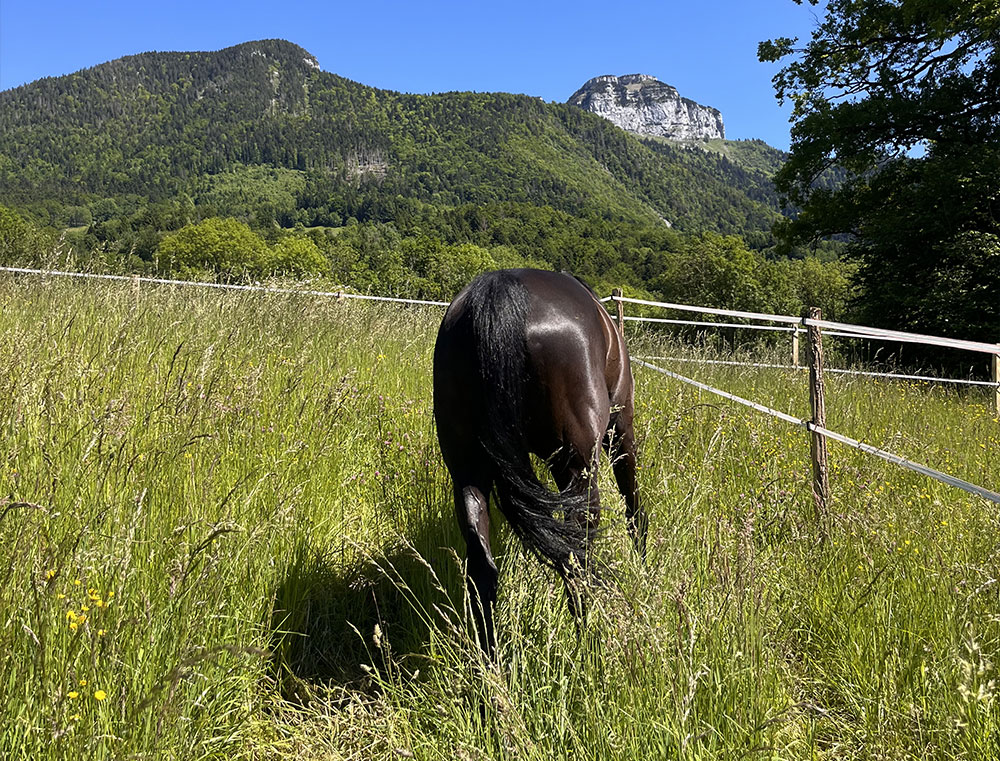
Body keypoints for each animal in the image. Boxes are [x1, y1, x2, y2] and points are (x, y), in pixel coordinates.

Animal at [433, 268, 647, 656]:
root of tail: (499, 293)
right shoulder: (620, 427)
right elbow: (632, 498)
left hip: (468, 470)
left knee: (482, 569)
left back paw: (490, 661)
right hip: (578, 470)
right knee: (576, 560)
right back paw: (590, 648)